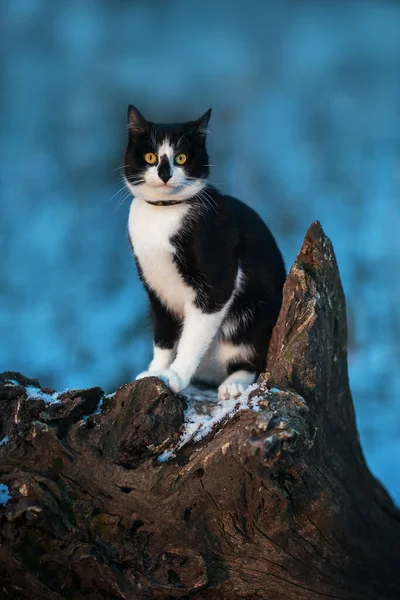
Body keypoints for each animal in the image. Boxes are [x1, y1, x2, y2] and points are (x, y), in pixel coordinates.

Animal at [124, 105, 284, 400]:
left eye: (181, 157)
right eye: (151, 157)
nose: (165, 174)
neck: (163, 214)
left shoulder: (216, 276)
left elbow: (193, 335)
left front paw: (175, 375)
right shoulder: (154, 286)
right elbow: (163, 333)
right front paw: (155, 371)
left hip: (256, 316)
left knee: (254, 358)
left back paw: (234, 383)